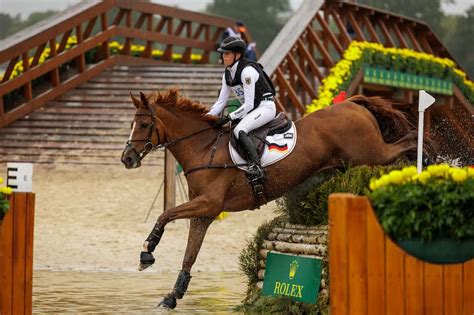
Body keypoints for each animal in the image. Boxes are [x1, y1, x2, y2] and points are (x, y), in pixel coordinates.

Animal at [121, 90, 418, 310]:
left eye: (144, 124)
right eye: (132, 124)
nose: (127, 158)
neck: (203, 148)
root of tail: (353, 104)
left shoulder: (209, 203)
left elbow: (165, 215)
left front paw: (147, 252)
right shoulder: (204, 214)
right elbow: (190, 254)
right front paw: (172, 295)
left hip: (372, 153)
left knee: (408, 141)